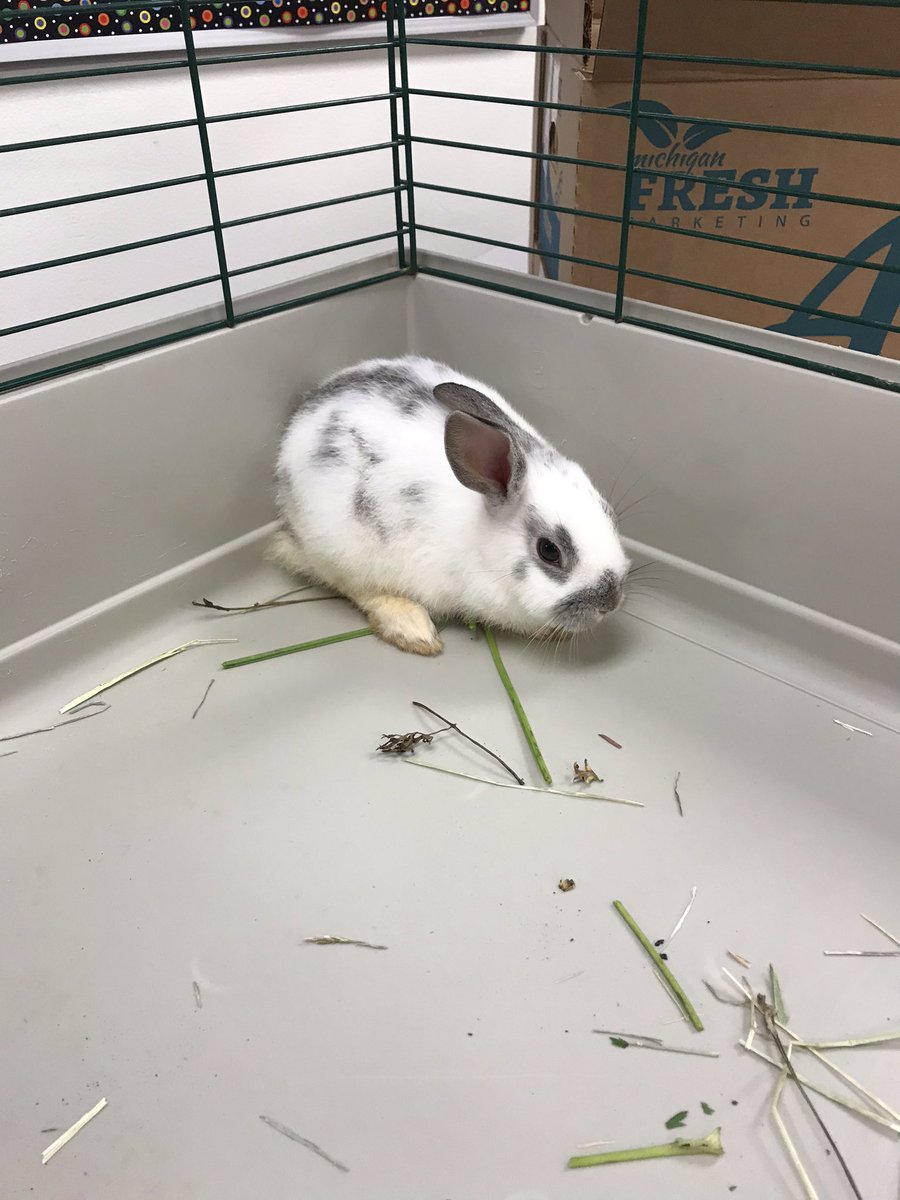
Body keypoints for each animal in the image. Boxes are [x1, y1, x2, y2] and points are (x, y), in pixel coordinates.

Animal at [270, 355, 630, 656]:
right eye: (549, 551)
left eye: (610, 514)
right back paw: (414, 629)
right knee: (358, 588)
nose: (610, 602)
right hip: (343, 552)